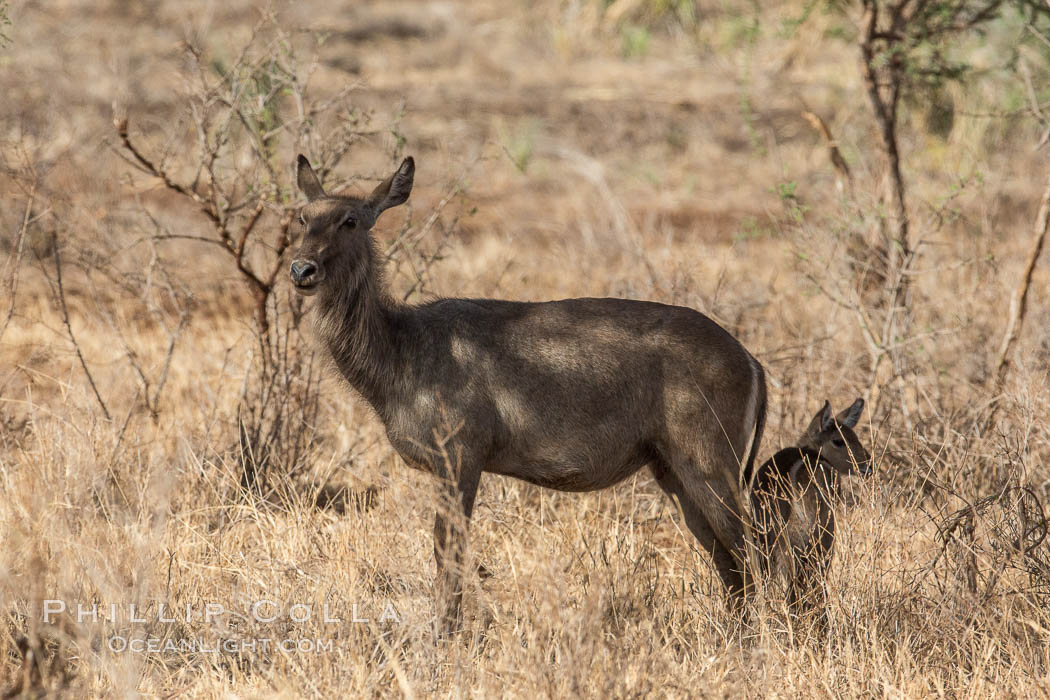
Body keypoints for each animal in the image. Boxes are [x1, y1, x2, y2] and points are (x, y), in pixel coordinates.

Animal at [291, 154, 768, 633]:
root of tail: (751, 360)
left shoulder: (460, 458)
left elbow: (448, 550)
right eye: (303, 217)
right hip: (673, 472)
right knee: (729, 562)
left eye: (350, 220)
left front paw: (445, 635)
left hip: (710, 465)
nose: (301, 270)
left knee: (754, 548)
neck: (402, 347)